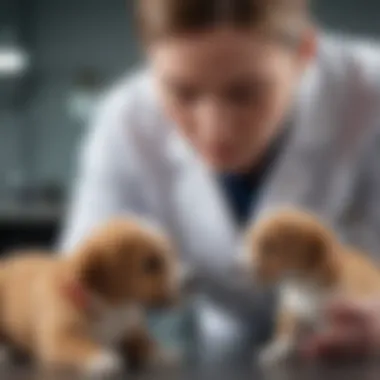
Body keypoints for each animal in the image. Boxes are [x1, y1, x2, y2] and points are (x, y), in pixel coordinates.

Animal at [0, 218, 183, 376]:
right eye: (150, 264)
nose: (183, 285)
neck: (111, 306)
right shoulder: (58, 339)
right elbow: (79, 346)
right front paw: (101, 358)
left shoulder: (131, 328)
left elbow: (143, 341)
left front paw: (160, 353)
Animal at [240, 208, 380, 368]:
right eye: (250, 242)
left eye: (269, 248)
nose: (241, 269)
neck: (303, 284)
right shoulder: (290, 307)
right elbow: (284, 329)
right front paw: (276, 349)